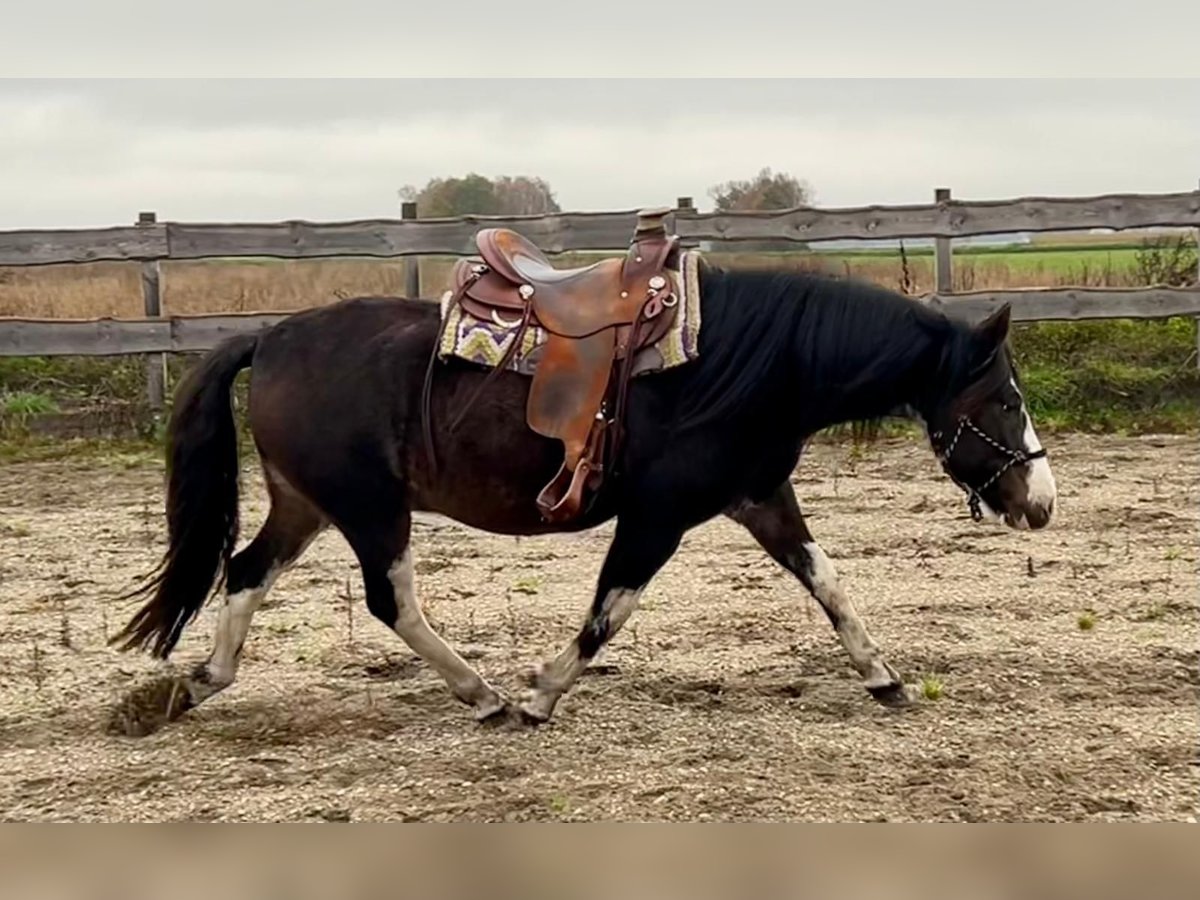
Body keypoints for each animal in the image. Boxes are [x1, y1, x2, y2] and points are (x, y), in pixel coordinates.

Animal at [108, 259, 1056, 734]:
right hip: (372, 509)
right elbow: (611, 609)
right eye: (1003, 401)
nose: (1041, 502)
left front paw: (884, 678)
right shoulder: (659, 515)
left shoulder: (759, 497)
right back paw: (484, 694)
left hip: (306, 503)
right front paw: (540, 693)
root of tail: (271, 337)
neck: (752, 359)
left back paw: (199, 684)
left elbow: (829, 584)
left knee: (244, 572)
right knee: (389, 601)